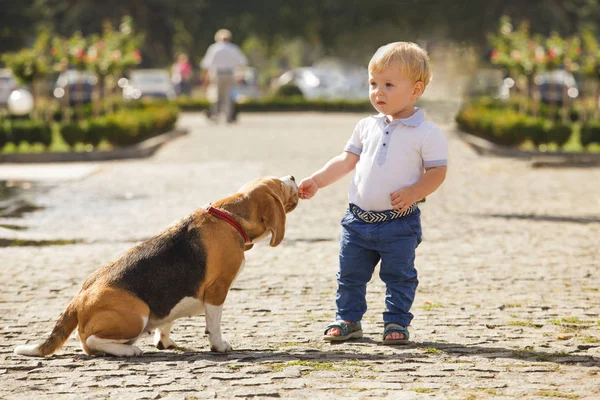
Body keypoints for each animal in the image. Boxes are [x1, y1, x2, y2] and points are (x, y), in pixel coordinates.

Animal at [12, 175, 296, 356]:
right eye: (279, 184)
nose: (292, 176)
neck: (229, 216)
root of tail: (78, 298)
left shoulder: (170, 298)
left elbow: (167, 319)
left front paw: (164, 341)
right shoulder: (217, 291)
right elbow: (214, 325)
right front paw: (219, 345)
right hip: (137, 313)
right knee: (90, 341)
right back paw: (128, 351)